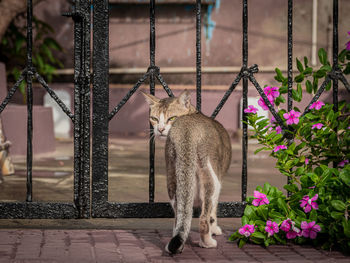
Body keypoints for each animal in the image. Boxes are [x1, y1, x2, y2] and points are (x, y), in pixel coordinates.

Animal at [141, 91, 231, 256]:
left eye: (171, 118)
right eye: (155, 118)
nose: (160, 129)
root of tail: (187, 131)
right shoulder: (219, 180)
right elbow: (213, 212)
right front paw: (215, 229)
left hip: (172, 177)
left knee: (179, 217)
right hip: (211, 178)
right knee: (204, 218)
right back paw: (207, 242)